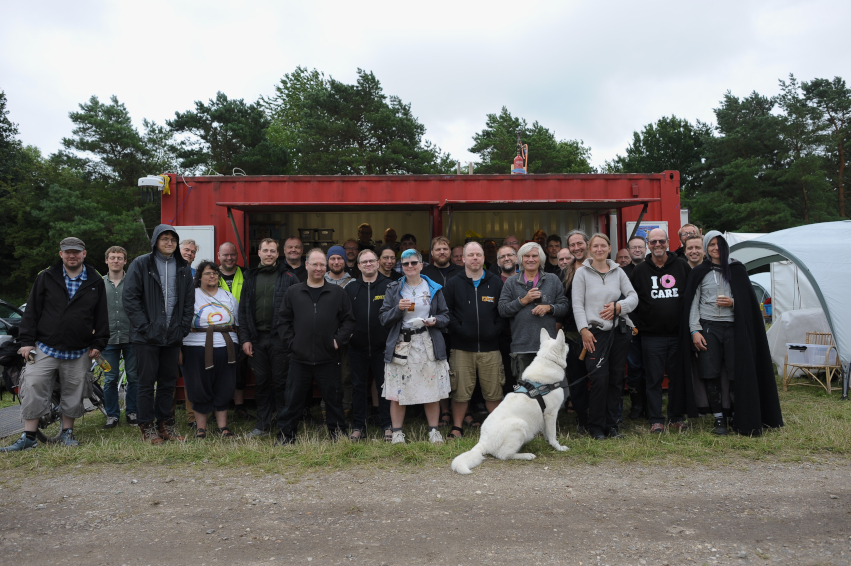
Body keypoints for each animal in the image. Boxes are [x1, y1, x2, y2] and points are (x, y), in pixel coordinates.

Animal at [452, 328, 572, 474]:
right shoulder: (551, 414)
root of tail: (483, 442)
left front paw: (548, 442)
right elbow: (553, 435)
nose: (569, 344)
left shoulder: (544, 416)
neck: (548, 361)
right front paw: (558, 447)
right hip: (520, 425)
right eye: (564, 343)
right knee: (503, 455)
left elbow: (547, 434)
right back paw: (526, 455)